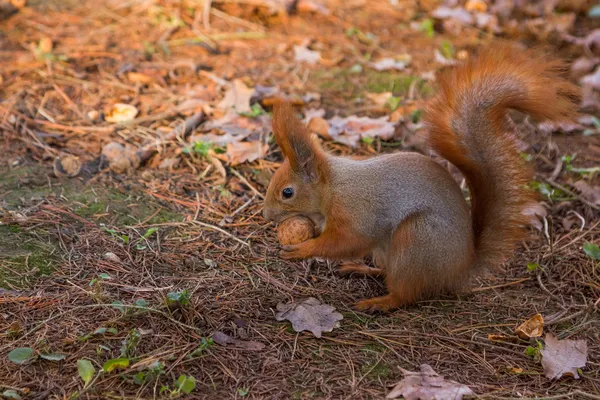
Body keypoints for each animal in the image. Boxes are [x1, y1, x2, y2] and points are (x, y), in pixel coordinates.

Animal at [262, 43, 580, 312]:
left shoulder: (356, 213)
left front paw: (302, 249)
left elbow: (346, 241)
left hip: (417, 239)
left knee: (406, 292)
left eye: (287, 192)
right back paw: (360, 269)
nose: (266, 215)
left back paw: (379, 302)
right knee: (387, 271)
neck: (332, 188)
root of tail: (460, 269)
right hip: (390, 249)